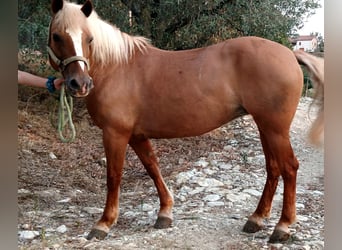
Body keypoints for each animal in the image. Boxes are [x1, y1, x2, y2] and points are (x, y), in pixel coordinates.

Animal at [47, 0, 324, 242]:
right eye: (57, 36)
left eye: (89, 38)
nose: (80, 84)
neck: (117, 67)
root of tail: (290, 53)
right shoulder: (137, 135)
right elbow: (152, 167)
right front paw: (165, 213)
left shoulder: (115, 133)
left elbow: (113, 176)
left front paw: (104, 223)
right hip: (265, 126)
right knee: (273, 168)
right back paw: (256, 219)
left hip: (275, 128)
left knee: (289, 167)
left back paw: (283, 226)